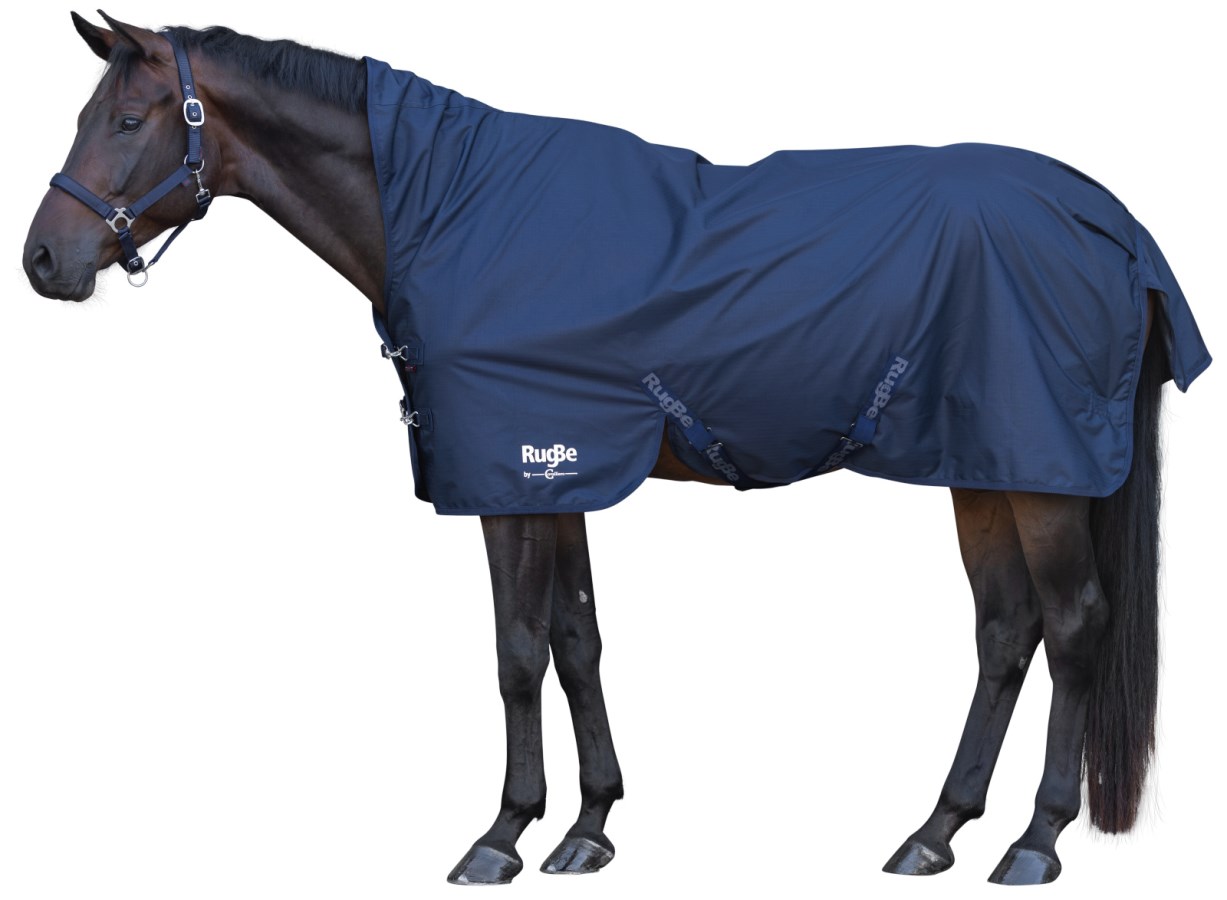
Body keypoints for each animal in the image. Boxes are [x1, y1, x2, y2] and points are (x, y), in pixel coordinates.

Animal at [21, 11, 1211, 888]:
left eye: (128, 117)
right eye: (86, 113)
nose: (44, 260)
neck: (452, 213)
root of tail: (1113, 224)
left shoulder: (511, 475)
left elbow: (515, 651)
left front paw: (500, 835)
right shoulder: (559, 472)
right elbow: (577, 640)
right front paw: (587, 828)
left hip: (1040, 477)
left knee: (1073, 627)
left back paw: (1034, 842)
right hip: (986, 467)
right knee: (1006, 631)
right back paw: (934, 833)